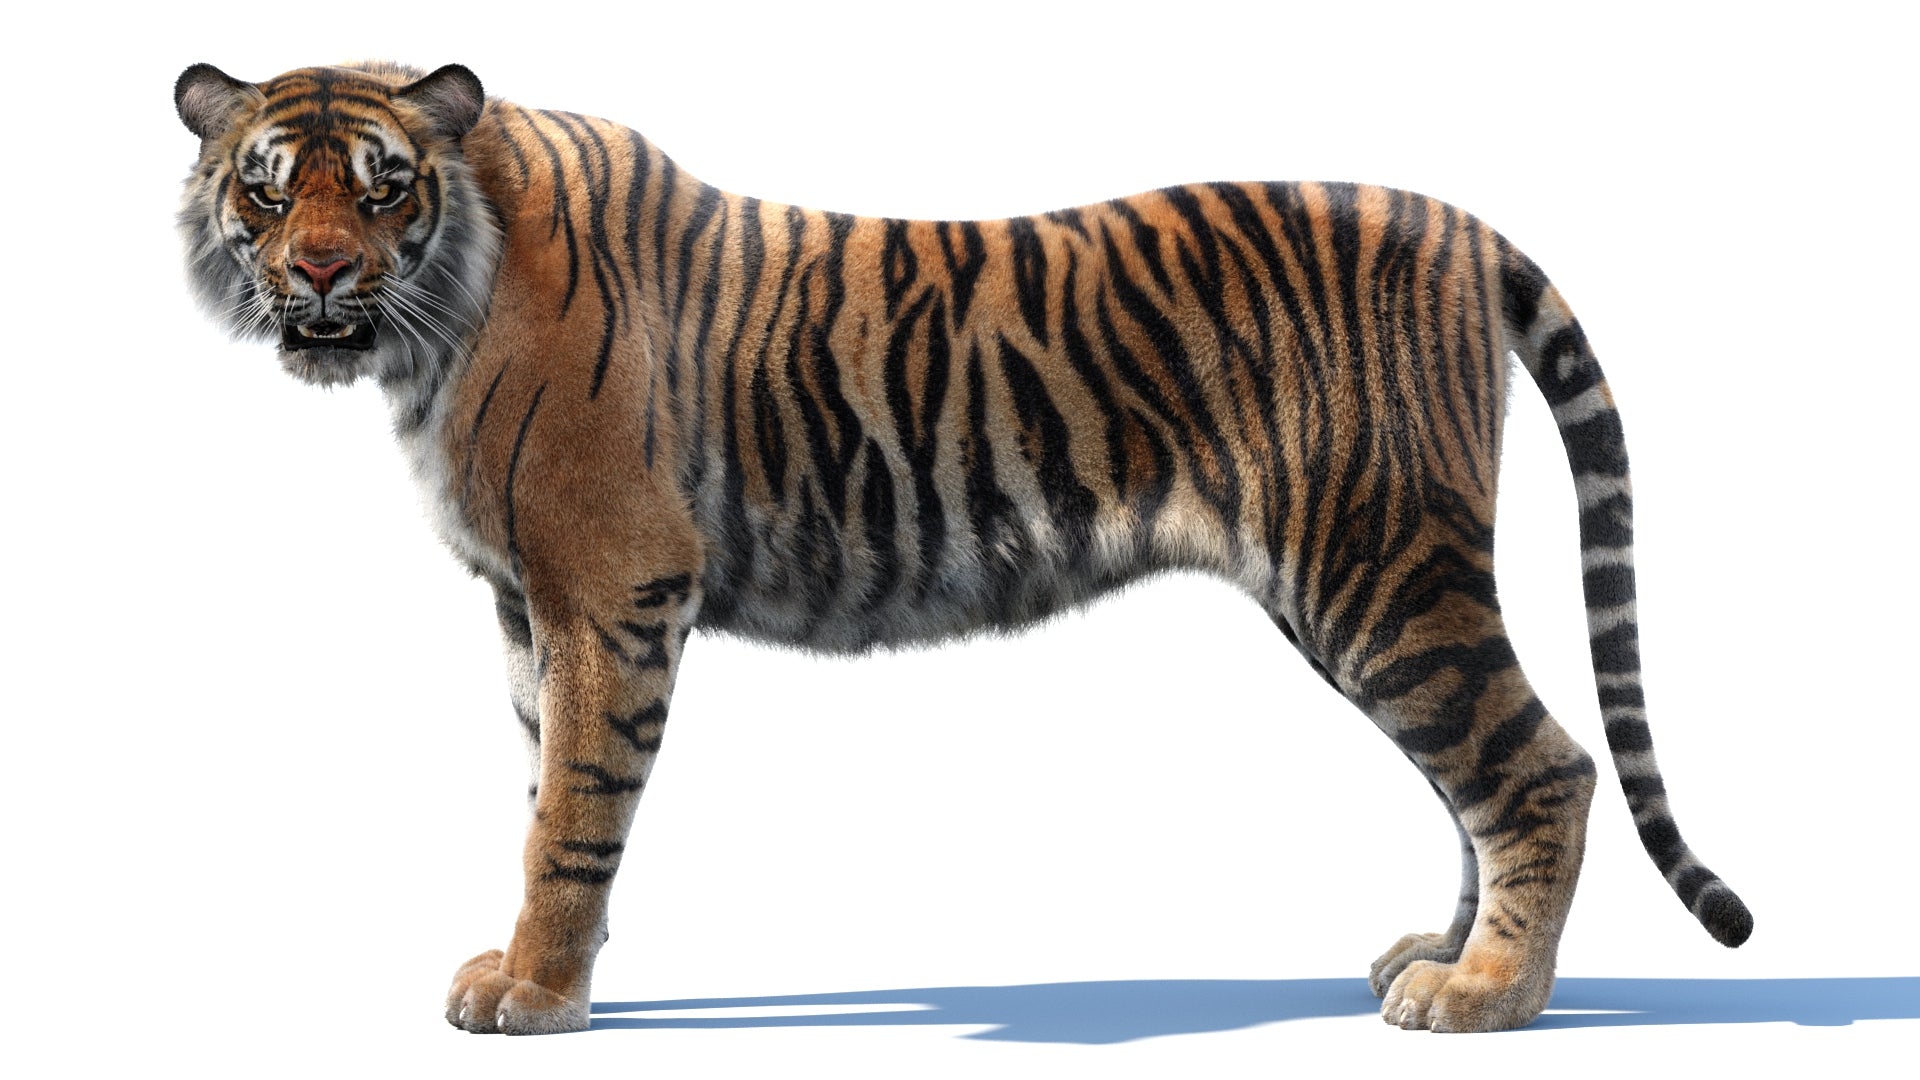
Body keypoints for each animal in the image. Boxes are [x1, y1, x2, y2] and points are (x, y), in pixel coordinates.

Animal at [174, 60, 1751, 1036]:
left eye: (382, 186)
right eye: (268, 187)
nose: (318, 269)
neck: (436, 320)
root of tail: (1458, 222)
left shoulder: (609, 596)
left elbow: (572, 811)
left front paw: (539, 996)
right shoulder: (528, 609)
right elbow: (539, 794)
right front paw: (527, 966)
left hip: (1375, 562)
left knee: (1539, 764)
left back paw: (1488, 997)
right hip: (1361, 588)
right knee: (1475, 774)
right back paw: (1444, 952)